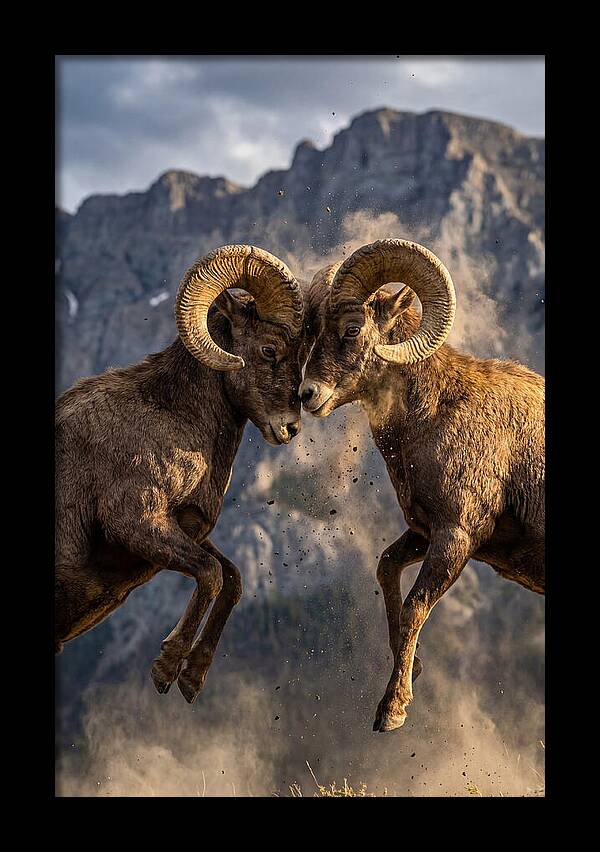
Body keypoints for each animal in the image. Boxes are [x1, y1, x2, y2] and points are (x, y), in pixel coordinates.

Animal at [55, 244, 306, 704]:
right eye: (268, 349)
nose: (290, 428)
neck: (174, 416)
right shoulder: (137, 524)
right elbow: (210, 575)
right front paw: (166, 668)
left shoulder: (186, 530)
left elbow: (233, 579)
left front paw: (191, 679)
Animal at [299, 239, 544, 732]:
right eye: (312, 329)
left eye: (352, 329)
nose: (307, 394)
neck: (436, 413)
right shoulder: (422, 532)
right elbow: (386, 569)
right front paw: (411, 673)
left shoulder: (456, 537)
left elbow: (415, 606)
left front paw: (392, 711)